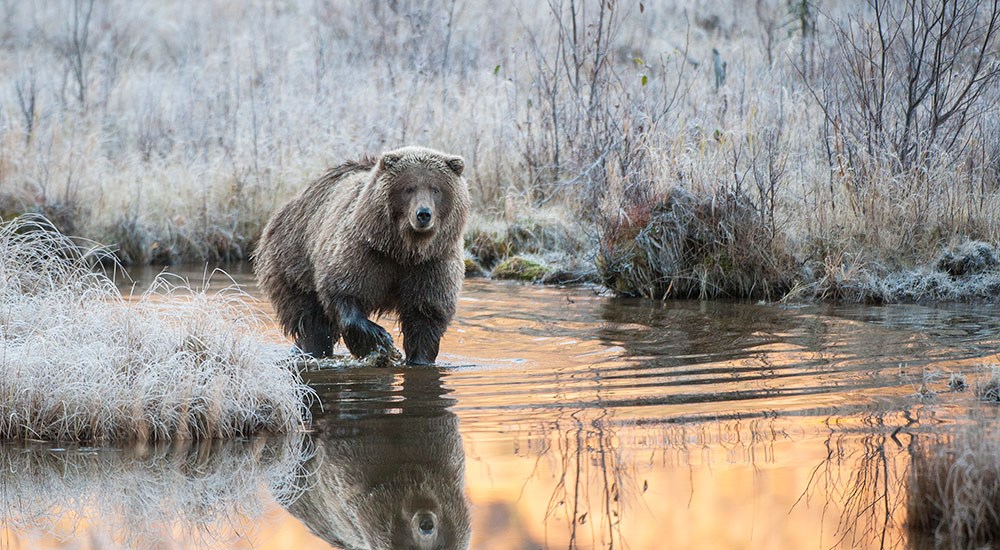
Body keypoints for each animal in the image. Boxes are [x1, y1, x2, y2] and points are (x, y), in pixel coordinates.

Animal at [252, 147, 466, 366]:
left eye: (436, 189)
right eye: (409, 188)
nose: (423, 214)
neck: (402, 250)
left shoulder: (432, 263)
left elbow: (426, 314)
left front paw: (419, 358)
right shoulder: (364, 252)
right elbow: (344, 292)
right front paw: (380, 341)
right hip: (293, 263)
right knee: (312, 322)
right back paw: (312, 351)